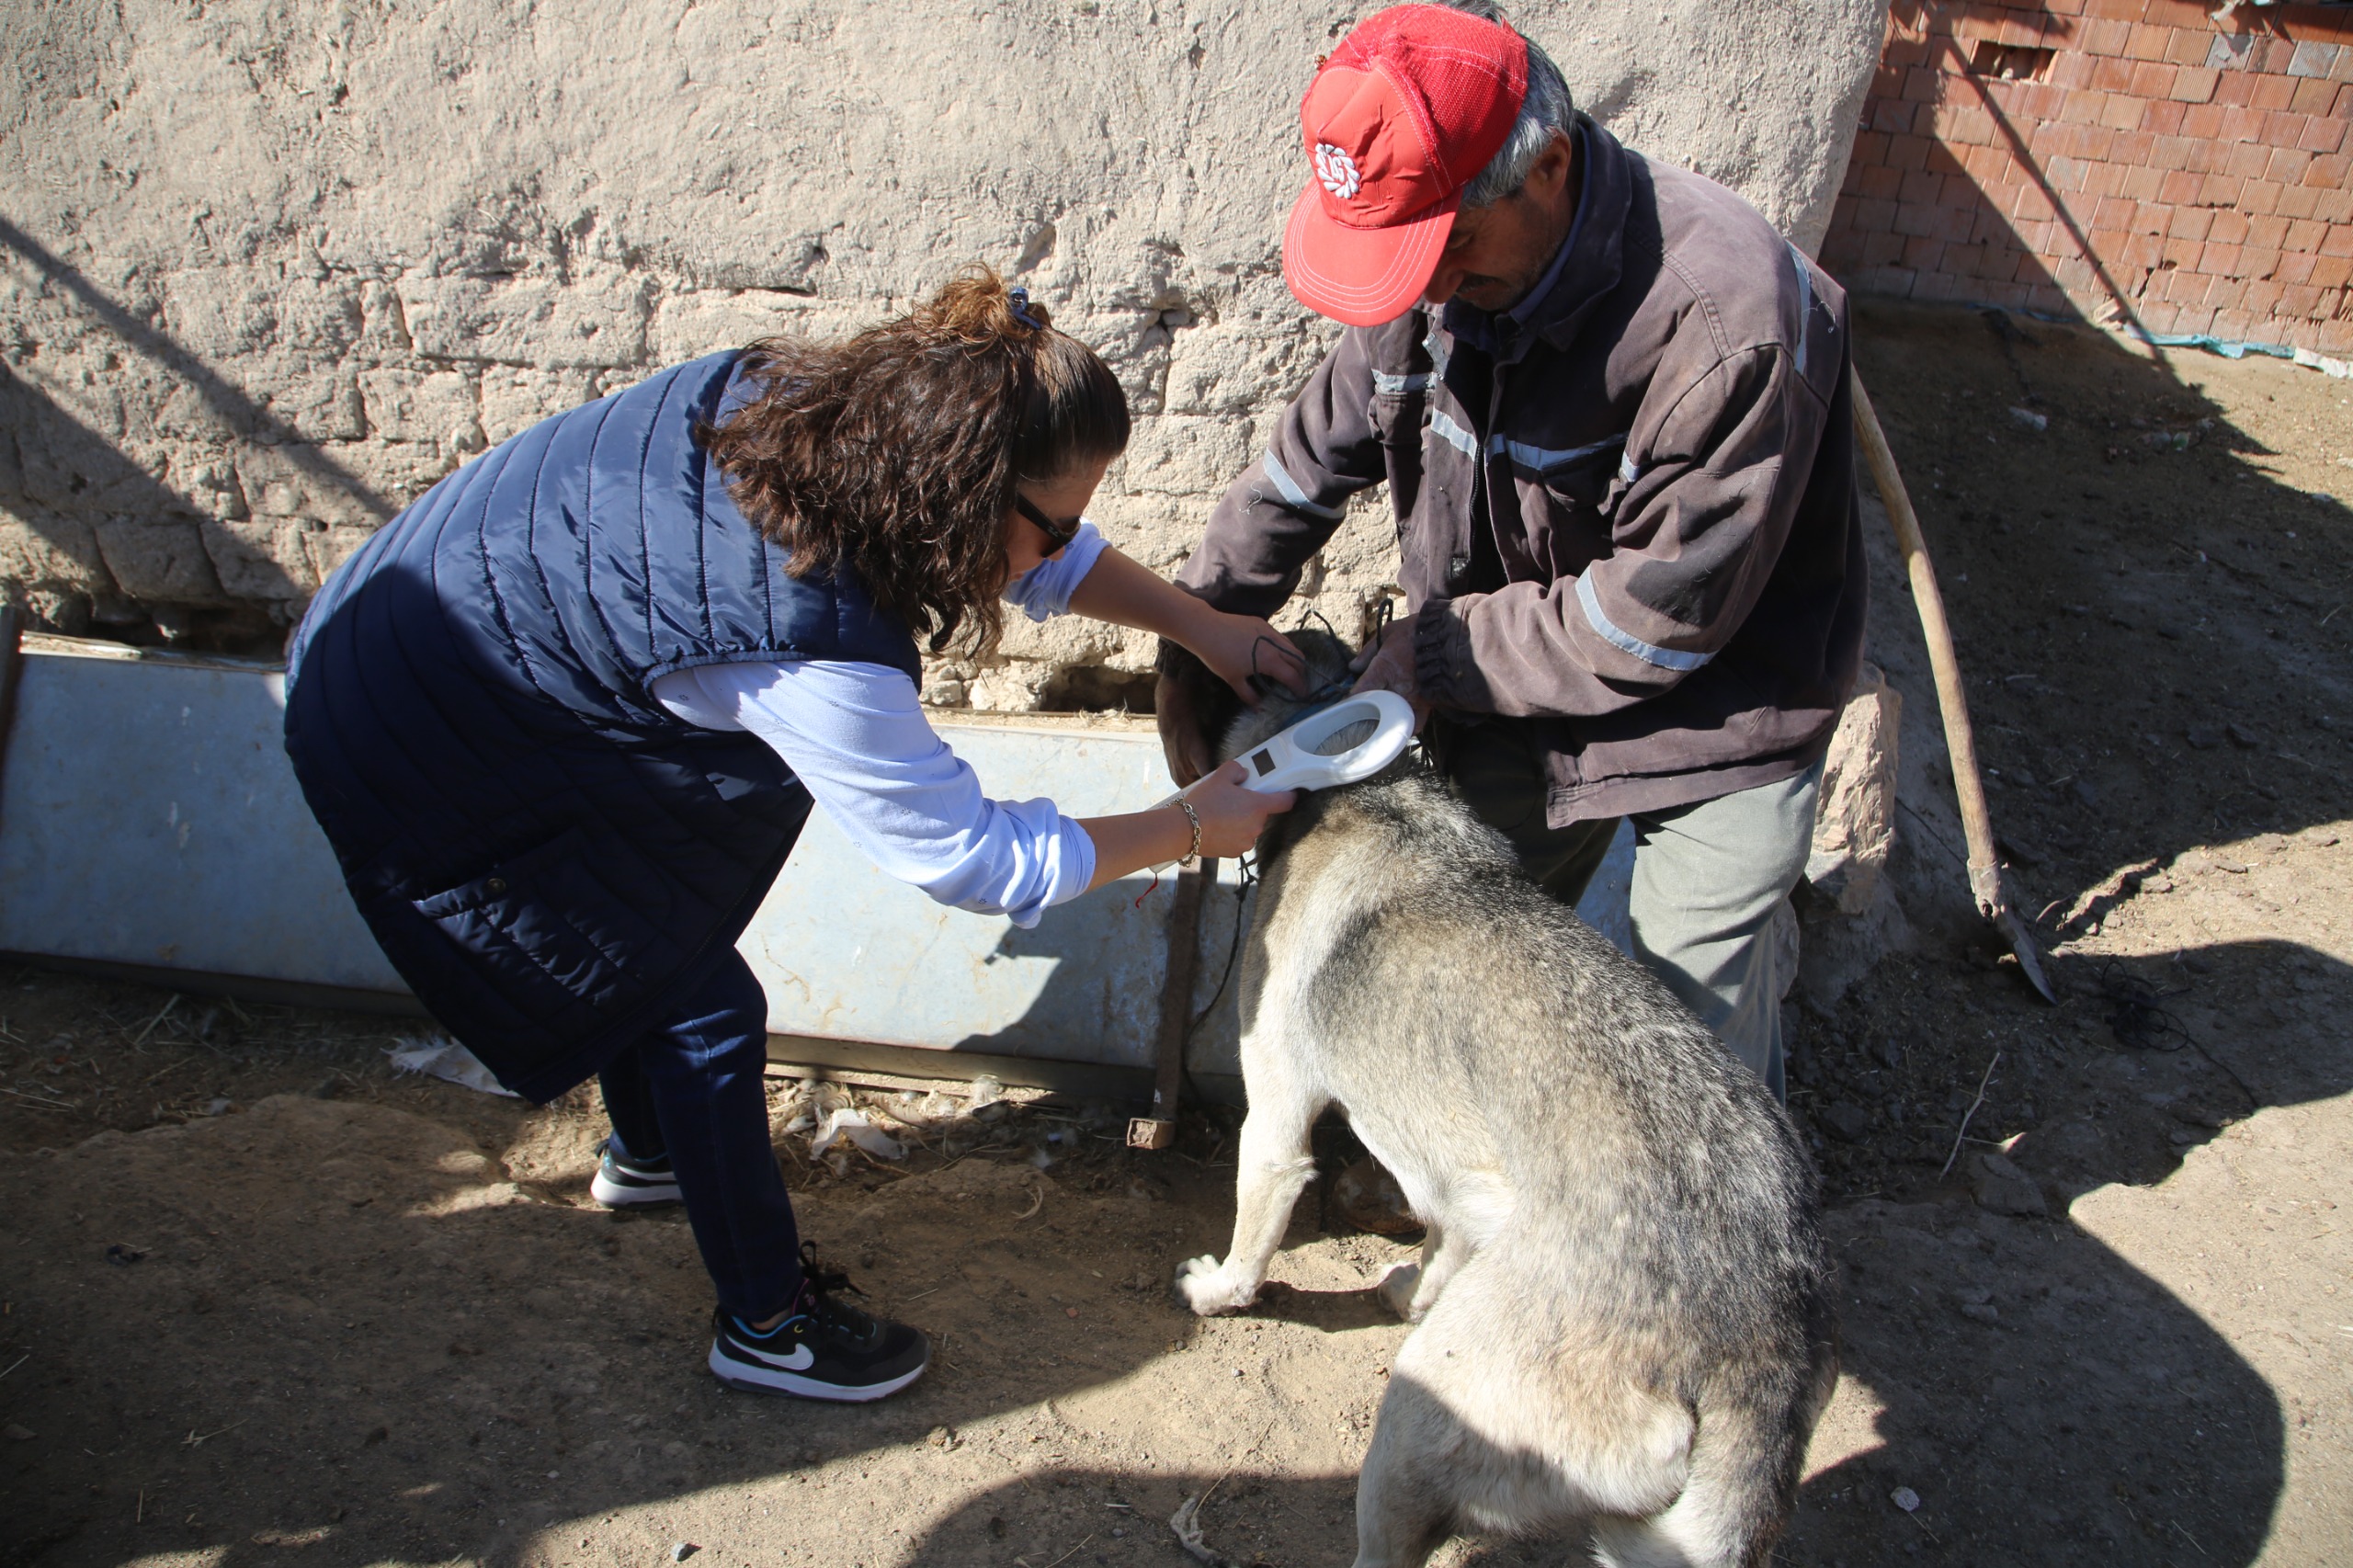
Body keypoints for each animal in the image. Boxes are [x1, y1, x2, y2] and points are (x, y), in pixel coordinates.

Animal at [1176, 631, 1835, 1562]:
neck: (1362, 782)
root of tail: (1760, 1343)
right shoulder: (1464, 1182)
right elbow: (1440, 1244)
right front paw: (1410, 1288)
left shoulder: (1274, 1124)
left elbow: (1250, 1244)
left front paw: (1218, 1292)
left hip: (1415, 1420)